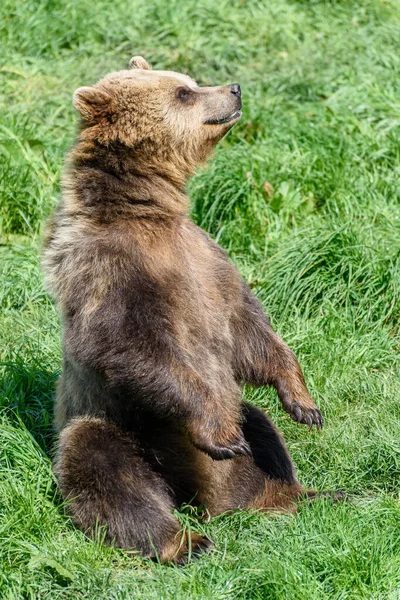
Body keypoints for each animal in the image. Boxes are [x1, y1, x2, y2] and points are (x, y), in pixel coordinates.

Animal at [43, 55, 338, 564]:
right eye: (183, 92)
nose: (234, 89)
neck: (146, 210)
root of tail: (204, 500)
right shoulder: (110, 271)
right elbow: (131, 346)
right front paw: (220, 436)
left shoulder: (206, 261)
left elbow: (246, 328)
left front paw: (304, 403)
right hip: (119, 425)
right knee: (107, 471)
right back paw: (184, 542)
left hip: (237, 430)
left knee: (261, 432)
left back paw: (295, 494)